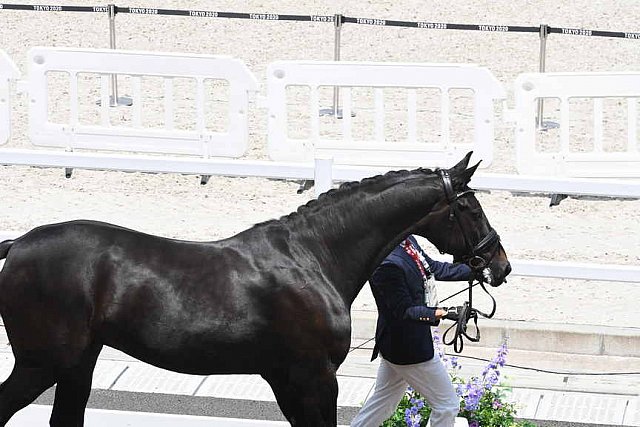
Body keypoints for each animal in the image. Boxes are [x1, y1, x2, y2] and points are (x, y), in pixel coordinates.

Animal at [0, 152, 510, 426]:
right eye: (471, 209)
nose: (500, 265)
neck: (314, 255)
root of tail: (17, 245)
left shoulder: (285, 378)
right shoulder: (313, 376)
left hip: (77, 363)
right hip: (42, 363)